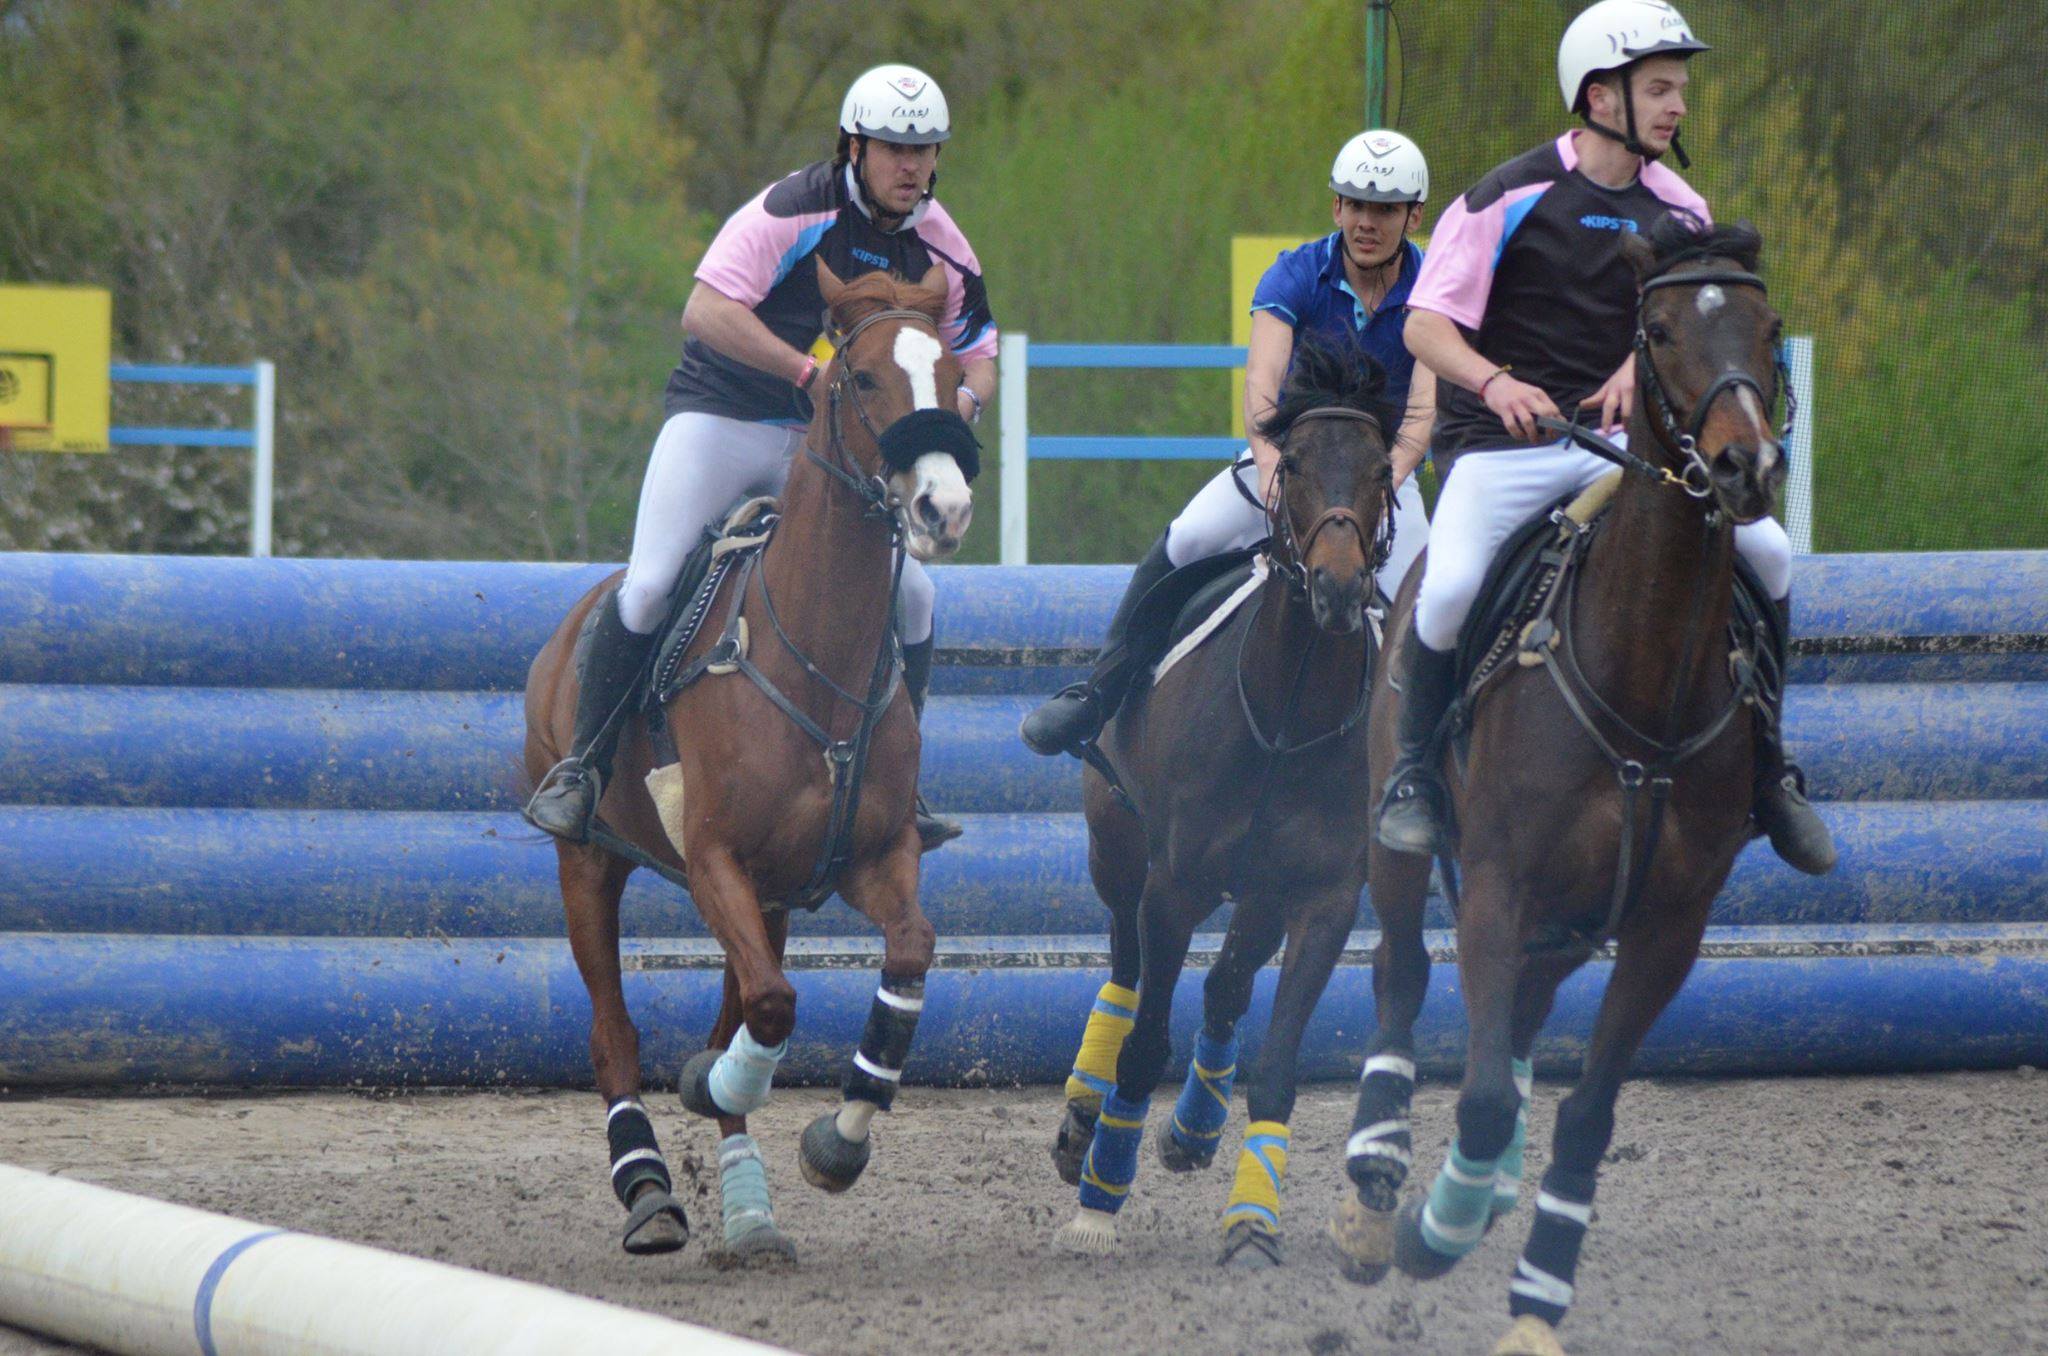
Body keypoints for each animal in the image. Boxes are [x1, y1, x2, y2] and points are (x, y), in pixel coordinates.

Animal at [524, 262, 978, 1261]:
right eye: (862, 378)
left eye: (956, 378)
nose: (943, 507)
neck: (816, 656)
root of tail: (576, 617)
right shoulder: (713, 860)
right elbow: (770, 1006)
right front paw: (718, 1084)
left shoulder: (868, 859)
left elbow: (904, 959)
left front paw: (836, 1140)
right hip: (588, 863)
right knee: (613, 1035)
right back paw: (649, 1190)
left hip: (768, 895)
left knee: (736, 1003)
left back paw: (749, 1210)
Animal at [1048, 346, 1400, 1269]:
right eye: (1298, 464)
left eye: (1382, 470)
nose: (1337, 587)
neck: (1287, 714)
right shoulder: (1172, 886)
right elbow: (1143, 1048)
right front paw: (1100, 1200)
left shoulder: (1321, 899)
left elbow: (1273, 1062)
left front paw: (1252, 1218)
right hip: (1117, 852)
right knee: (1127, 975)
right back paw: (1084, 1121)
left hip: (1259, 890)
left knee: (1226, 988)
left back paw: (1195, 1127)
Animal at [1327, 218, 1794, 1351]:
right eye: (1657, 331)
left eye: (1766, 328)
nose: (1744, 466)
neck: (1646, 680)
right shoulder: (1499, 885)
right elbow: (1486, 1092)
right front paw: (1432, 1229)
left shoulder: (1668, 925)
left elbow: (1582, 1115)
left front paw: (1536, 1300)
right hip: (1400, 844)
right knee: (1400, 975)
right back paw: (1381, 1182)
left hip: (1579, 917)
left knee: (1527, 1016)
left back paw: (1483, 1188)